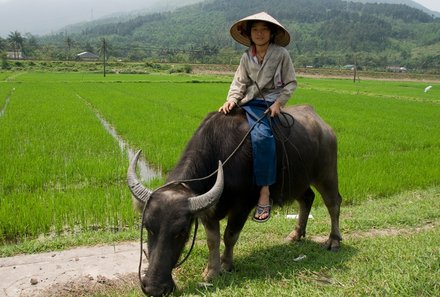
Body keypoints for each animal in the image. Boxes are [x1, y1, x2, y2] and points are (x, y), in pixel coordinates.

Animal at [125, 103, 342, 294]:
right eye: (148, 227)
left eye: (181, 232)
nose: (153, 288)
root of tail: (322, 125)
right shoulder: (207, 211)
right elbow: (212, 240)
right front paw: (211, 272)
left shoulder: (242, 206)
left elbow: (230, 235)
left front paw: (226, 264)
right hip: (299, 181)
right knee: (307, 199)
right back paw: (295, 235)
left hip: (326, 173)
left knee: (333, 203)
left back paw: (334, 241)